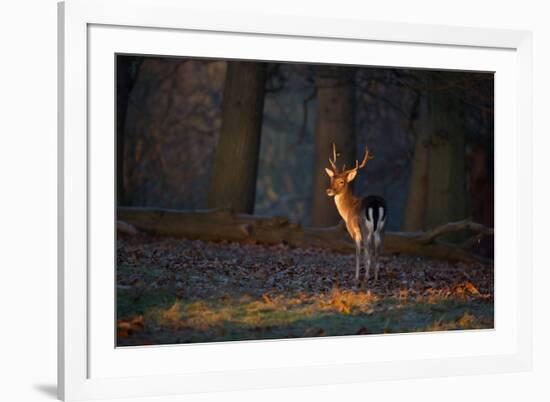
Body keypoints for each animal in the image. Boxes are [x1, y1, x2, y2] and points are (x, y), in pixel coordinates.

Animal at [328, 144, 388, 282]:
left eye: (341, 181)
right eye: (331, 178)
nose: (329, 190)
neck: (348, 210)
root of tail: (375, 204)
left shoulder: (354, 231)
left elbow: (357, 253)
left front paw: (356, 277)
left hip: (365, 228)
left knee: (368, 250)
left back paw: (366, 277)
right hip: (382, 228)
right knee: (377, 251)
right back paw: (375, 277)